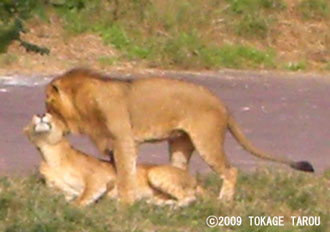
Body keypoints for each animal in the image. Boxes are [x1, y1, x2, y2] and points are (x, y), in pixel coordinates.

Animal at [45, 68, 314, 204]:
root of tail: (223, 104)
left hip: (207, 141)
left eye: (49, 103)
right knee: (183, 176)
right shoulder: (112, 146)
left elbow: (125, 176)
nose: (44, 115)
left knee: (231, 171)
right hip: (180, 144)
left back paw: (223, 202)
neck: (83, 104)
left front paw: (124, 204)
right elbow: (120, 173)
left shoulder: (124, 141)